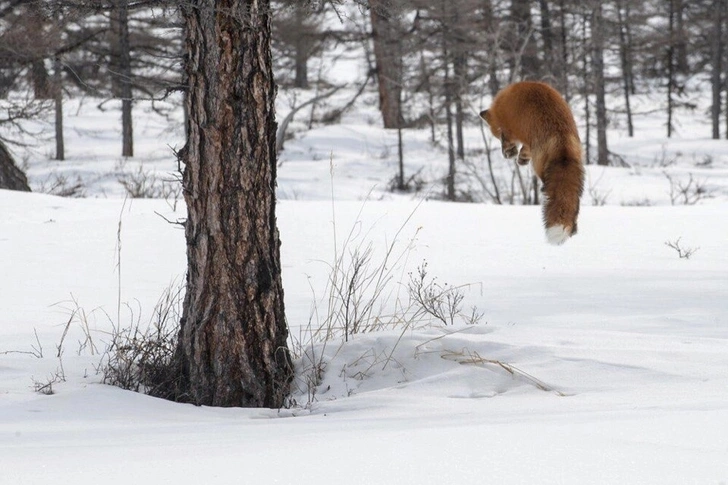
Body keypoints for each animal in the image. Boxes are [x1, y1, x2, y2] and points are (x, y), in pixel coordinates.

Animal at [480, 82, 584, 246]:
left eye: (496, 134)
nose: (505, 156)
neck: (502, 101)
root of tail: (562, 139)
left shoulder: (509, 128)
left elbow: (508, 140)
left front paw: (511, 152)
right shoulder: (527, 140)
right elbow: (524, 149)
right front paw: (521, 158)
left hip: (539, 167)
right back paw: (573, 230)